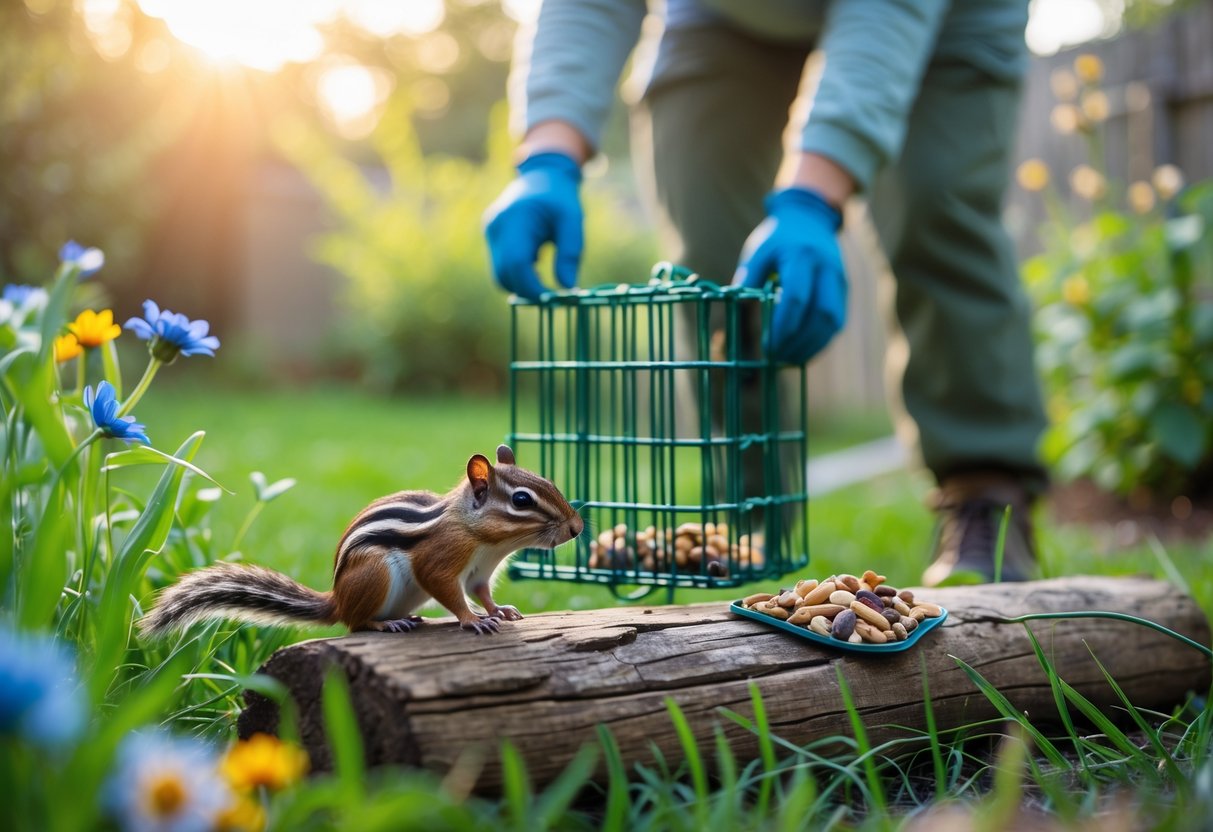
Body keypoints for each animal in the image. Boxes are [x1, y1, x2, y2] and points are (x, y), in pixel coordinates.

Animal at [139, 444, 583, 637]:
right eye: (522, 500)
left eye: (546, 481)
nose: (577, 527)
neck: (486, 541)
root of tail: (337, 599)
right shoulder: (440, 560)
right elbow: (449, 590)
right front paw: (472, 619)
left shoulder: (480, 573)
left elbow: (482, 592)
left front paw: (500, 610)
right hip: (375, 573)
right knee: (354, 623)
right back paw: (384, 623)